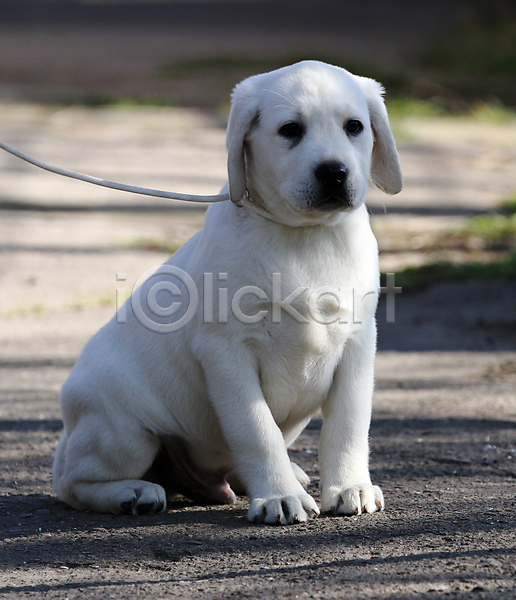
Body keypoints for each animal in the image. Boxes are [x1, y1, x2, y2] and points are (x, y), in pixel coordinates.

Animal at [55, 58, 404, 524]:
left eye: (354, 127)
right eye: (290, 130)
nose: (334, 172)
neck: (305, 236)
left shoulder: (358, 344)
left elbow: (347, 426)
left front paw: (349, 486)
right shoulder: (226, 352)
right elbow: (256, 429)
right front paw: (278, 496)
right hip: (122, 430)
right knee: (71, 482)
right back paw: (133, 492)